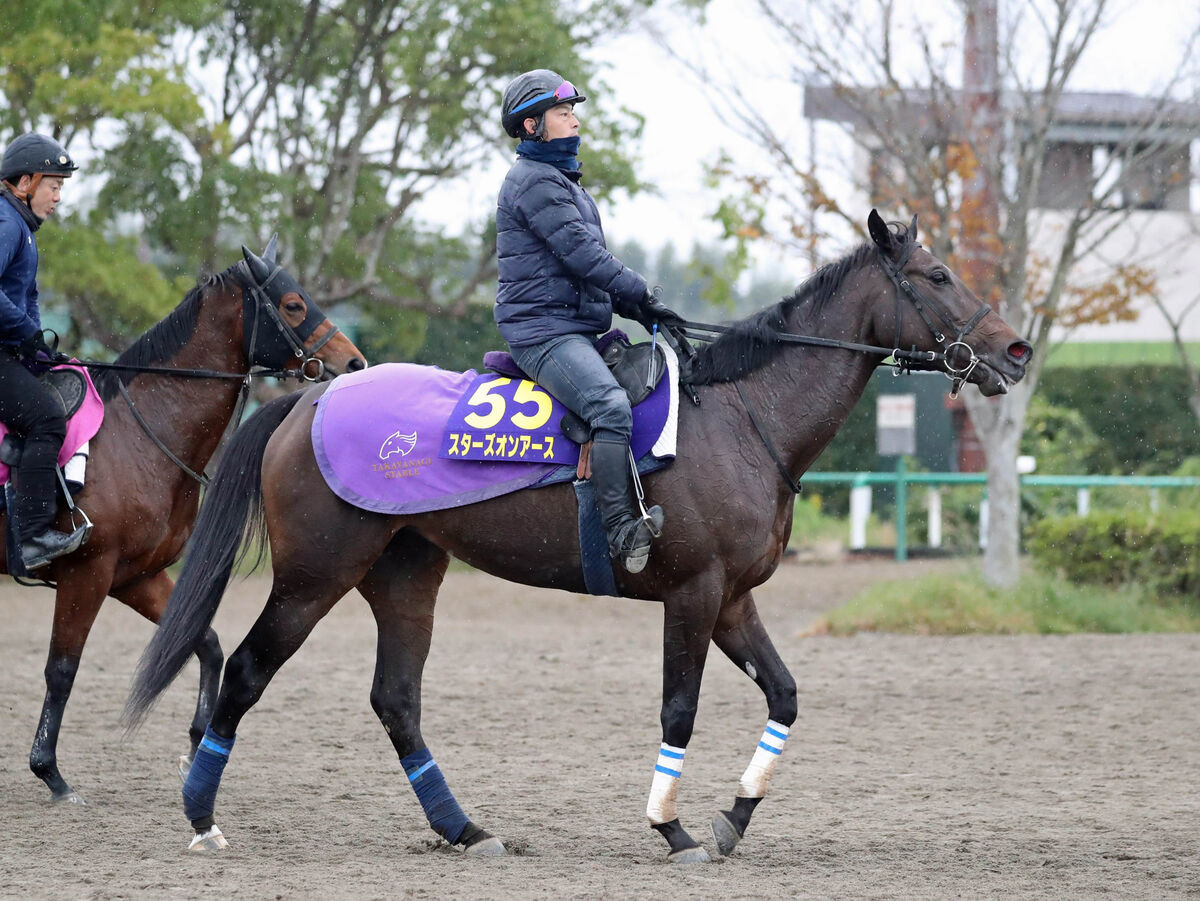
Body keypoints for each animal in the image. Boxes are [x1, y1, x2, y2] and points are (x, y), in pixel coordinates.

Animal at [3, 241, 364, 801]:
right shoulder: (87, 573)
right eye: (292, 304)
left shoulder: (134, 577)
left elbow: (208, 644)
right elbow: (62, 669)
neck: (136, 436)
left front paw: (197, 744)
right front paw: (50, 773)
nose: (353, 361)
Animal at [126, 211, 1032, 859]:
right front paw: (673, 826)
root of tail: (310, 398)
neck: (742, 416)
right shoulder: (694, 594)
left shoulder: (734, 599)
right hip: (315, 575)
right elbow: (679, 708)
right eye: (939, 275)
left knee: (397, 701)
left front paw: (734, 814)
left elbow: (784, 694)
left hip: (406, 574)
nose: (1017, 350)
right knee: (246, 671)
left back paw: (464, 828)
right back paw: (201, 815)